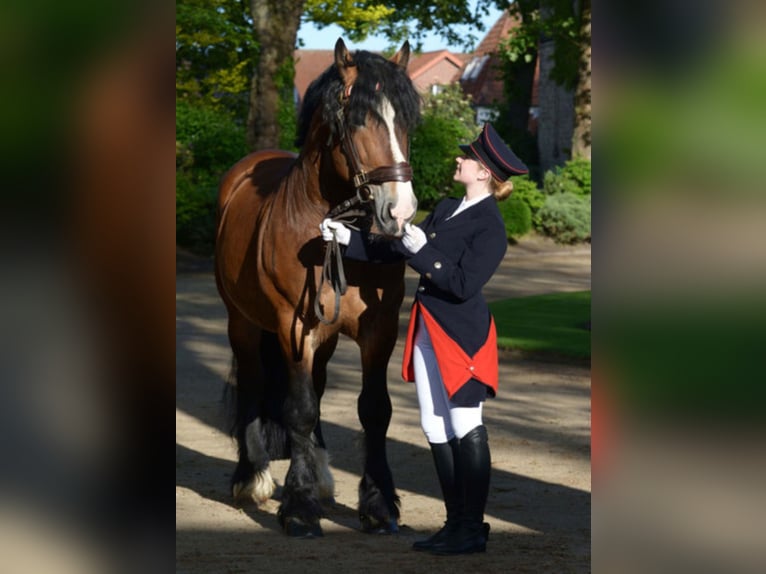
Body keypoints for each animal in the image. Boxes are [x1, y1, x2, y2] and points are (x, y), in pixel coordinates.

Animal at [213, 40, 424, 540]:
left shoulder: (378, 330)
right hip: (243, 324)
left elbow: (374, 409)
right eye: (358, 121)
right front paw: (299, 507)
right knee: (254, 382)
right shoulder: (294, 328)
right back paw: (251, 477)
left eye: (407, 121)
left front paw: (379, 504)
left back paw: (323, 476)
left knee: (321, 386)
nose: (400, 212)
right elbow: (301, 409)